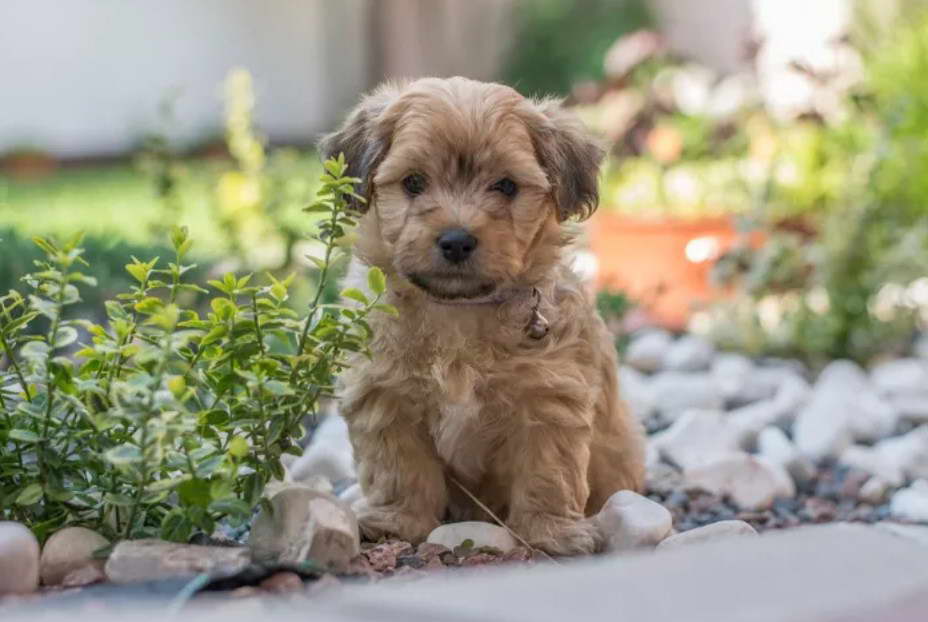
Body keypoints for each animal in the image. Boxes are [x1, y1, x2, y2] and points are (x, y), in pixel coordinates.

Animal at [320, 75, 644, 560]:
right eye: (413, 182)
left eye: (506, 186)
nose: (456, 240)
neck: (458, 312)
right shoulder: (385, 398)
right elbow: (399, 469)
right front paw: (397, 522)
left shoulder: (549, 401)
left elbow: (548, 472)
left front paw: (552, 532)